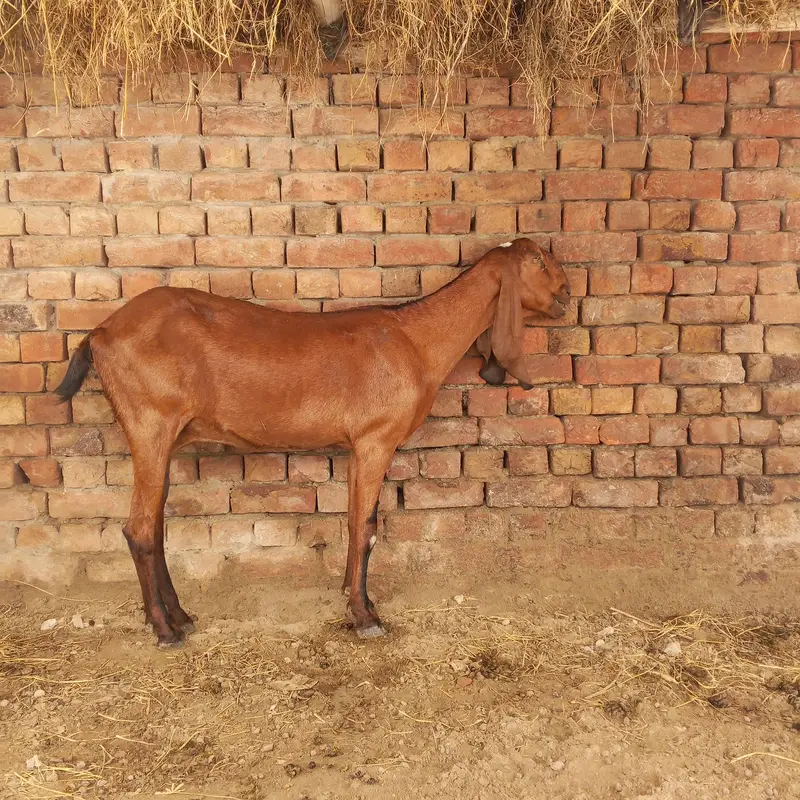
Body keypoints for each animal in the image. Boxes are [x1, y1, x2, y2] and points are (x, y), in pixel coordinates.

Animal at [55, 238, 570, 646]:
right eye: (539, 261)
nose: (567, 294)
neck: (414, 339)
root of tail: (100, 332)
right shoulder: (376, 438)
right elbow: (367, 527)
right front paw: (365, 617)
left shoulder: (357, 444)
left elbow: (354, 519)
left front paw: (352, 598)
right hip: (149, 425)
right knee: (139, 529)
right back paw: (164, 630)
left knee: (156, 525)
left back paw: (179, 616)